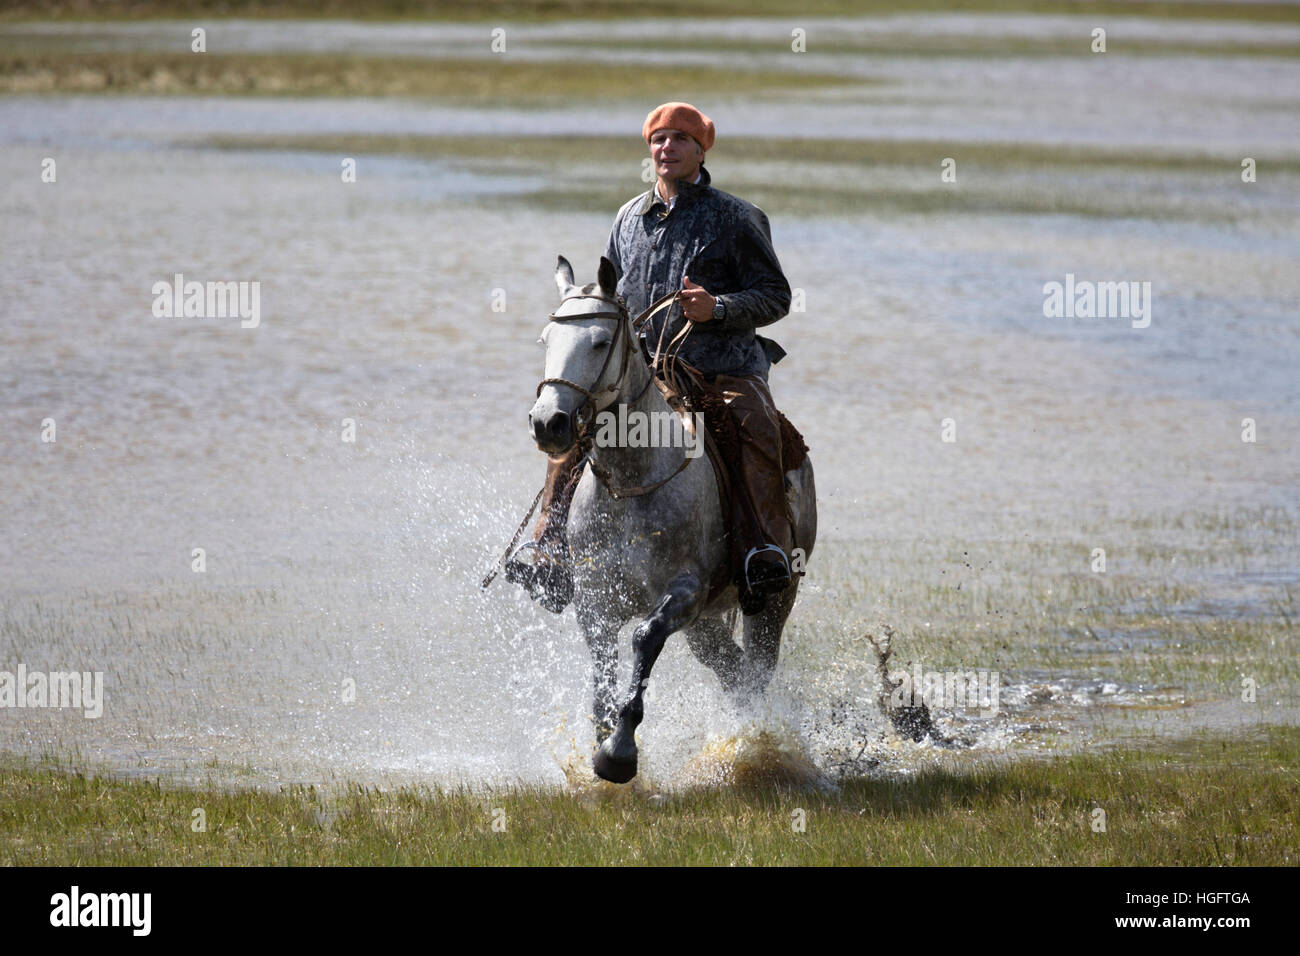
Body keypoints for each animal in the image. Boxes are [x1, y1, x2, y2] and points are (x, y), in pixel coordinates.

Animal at [525, 256, 811, 785]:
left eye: (600, 342)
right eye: (546, 340)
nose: (547, 423)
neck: (632, 483)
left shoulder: (684, 592)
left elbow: (644, 638)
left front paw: (618, 754)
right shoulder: (596, 600)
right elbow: (602, 674)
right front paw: (601, 743)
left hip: (774, 599)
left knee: (758, 668)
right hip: (707, 625)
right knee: (733, 671)